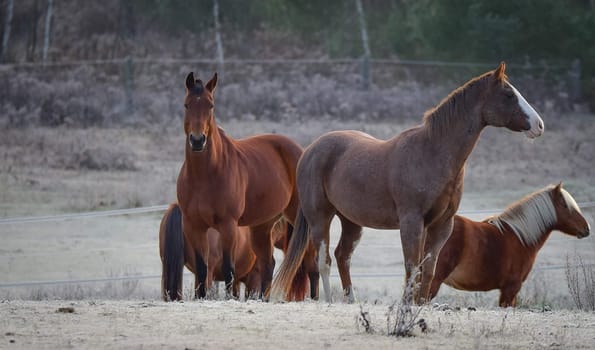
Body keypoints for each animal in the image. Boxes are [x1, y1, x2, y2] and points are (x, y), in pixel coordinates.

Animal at [177, 72, 314, 300]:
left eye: (211, 105)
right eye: (186, 105)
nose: (197, 140)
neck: (204, 176)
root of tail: (300, 151)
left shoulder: (228, 226)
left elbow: (228, 268)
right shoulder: (193, 226)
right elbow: (202, 268)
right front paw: (201, 298)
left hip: (298, 218)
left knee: (312, 262)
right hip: (262, 227)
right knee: (268, 264)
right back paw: (263, 300)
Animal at [272, 62, 548, 304]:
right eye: (509, 94)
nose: (539, 125)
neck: (431, 152)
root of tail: (310, 151)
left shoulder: (442, 225)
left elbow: (429, 269)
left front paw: (420, 304)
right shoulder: (411, 222)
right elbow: (411, 266)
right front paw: (406, 304)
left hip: (351, 221)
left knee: (343, 256)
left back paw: (350, 301)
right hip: (320, 217)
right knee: (324, 260)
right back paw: (329, 301)